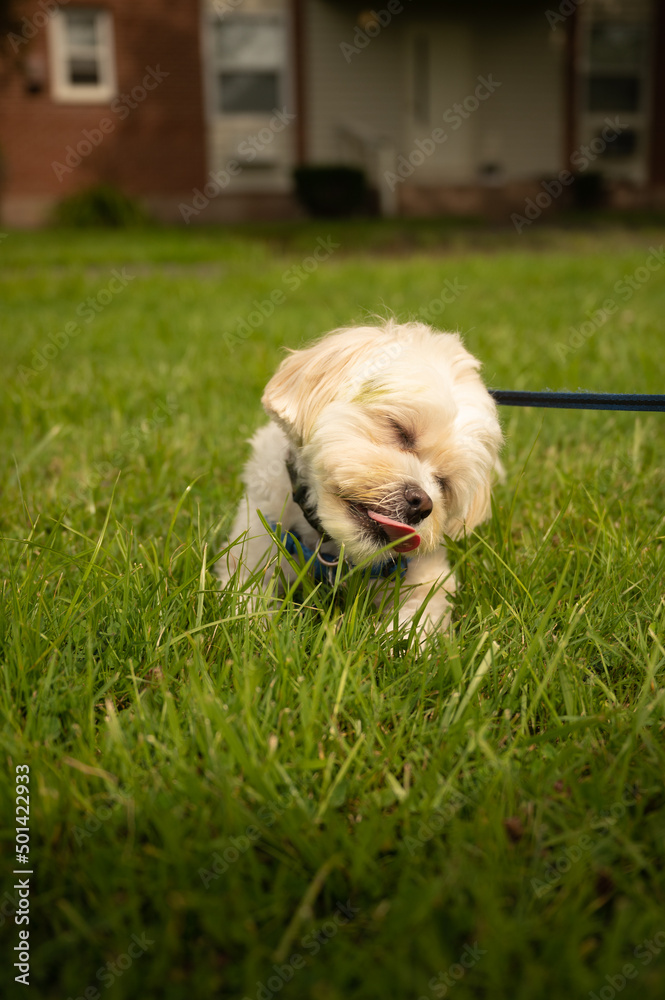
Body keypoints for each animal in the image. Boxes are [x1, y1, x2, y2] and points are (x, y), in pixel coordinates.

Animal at [219, 318, 504, 632]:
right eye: (399, 430)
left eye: (444, 482)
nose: (421, 503)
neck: (334, 552)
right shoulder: (253, 550)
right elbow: (243, 604)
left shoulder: (428, 579)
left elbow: (416, 621)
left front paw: (396, 640)